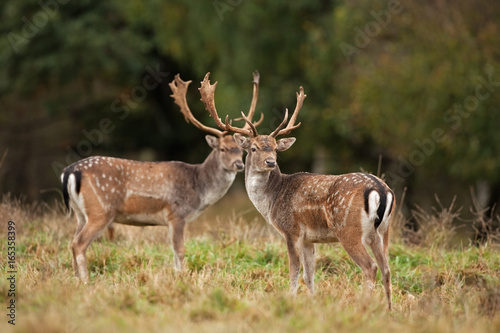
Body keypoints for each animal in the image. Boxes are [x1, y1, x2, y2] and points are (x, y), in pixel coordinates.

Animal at [60, 71, 262, 282]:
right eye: (222, 149)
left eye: (241, 150)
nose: (239, 165)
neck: (198, 189)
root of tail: (70, 171)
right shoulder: (176, 214)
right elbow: (180, 251)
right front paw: (182, 278)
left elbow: (174, 254)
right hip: (101, 210)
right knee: (78, 243)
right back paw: (85, 281)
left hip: (80, 213)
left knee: (72, 242)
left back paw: (75, 279)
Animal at [199, 76, 394, 308]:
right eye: (254, 148)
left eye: (275, 148)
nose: (270, 162)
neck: (272, 201)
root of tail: (380, 189)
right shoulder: (309, 238)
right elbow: (309, 275)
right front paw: (312, 302)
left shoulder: (291, 230)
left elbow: (294, 271)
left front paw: (290, 300)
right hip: (383, 232)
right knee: (386, 268)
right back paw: (389, 309)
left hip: (349, 229)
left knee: (370, 267)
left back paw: (363, 306)